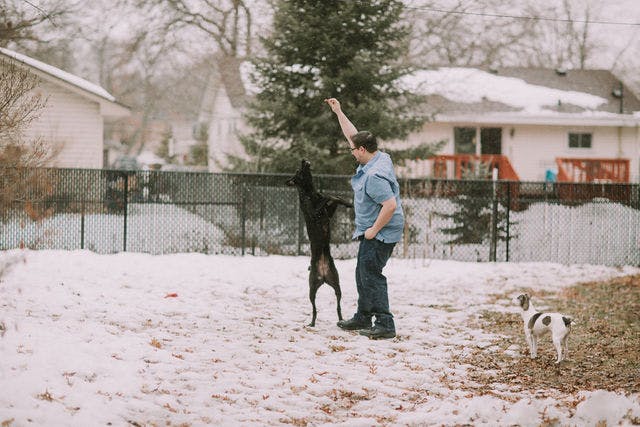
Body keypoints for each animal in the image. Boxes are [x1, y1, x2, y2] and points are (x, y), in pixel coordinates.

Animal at [286, 160, 352, 328]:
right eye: (298, 170)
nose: (303, 160)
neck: (310, 192)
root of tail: (323, 275)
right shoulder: (316, 212)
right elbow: (328, 196)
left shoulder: (328, 212)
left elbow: (335, 197)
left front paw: (348, 203)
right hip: (312, 289)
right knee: (314, 309)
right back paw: (312, 322)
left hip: (337, 285)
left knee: (338, 306)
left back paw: (341, 319)